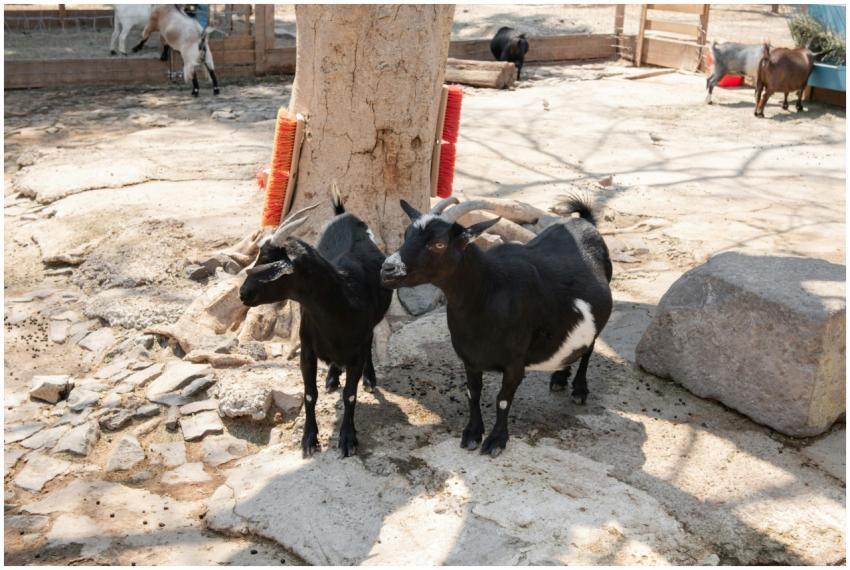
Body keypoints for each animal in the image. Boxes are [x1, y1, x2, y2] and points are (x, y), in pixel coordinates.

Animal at [239, 187, 392, 458]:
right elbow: (310, 394)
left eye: (269, 263)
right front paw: (309, 439)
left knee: (371, 341)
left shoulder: (356, 350)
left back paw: (369, 379)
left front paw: (348, 439)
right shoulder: (307, 349)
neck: (342, 303)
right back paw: (332, 376)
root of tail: (345, 215)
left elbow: (350, 395)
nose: (243, 293)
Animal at [381, 196, 612, 457]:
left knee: (590, 348)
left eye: (439, 244)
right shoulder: (470, 358)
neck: (489, 291)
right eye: (406, 234)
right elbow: (473, 393)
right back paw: (560, 377)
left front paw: (496, 441)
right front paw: (472, 434)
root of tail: (585, 222)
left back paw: (579, 390)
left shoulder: (515, 363)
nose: (387, 269)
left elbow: (503, 399)